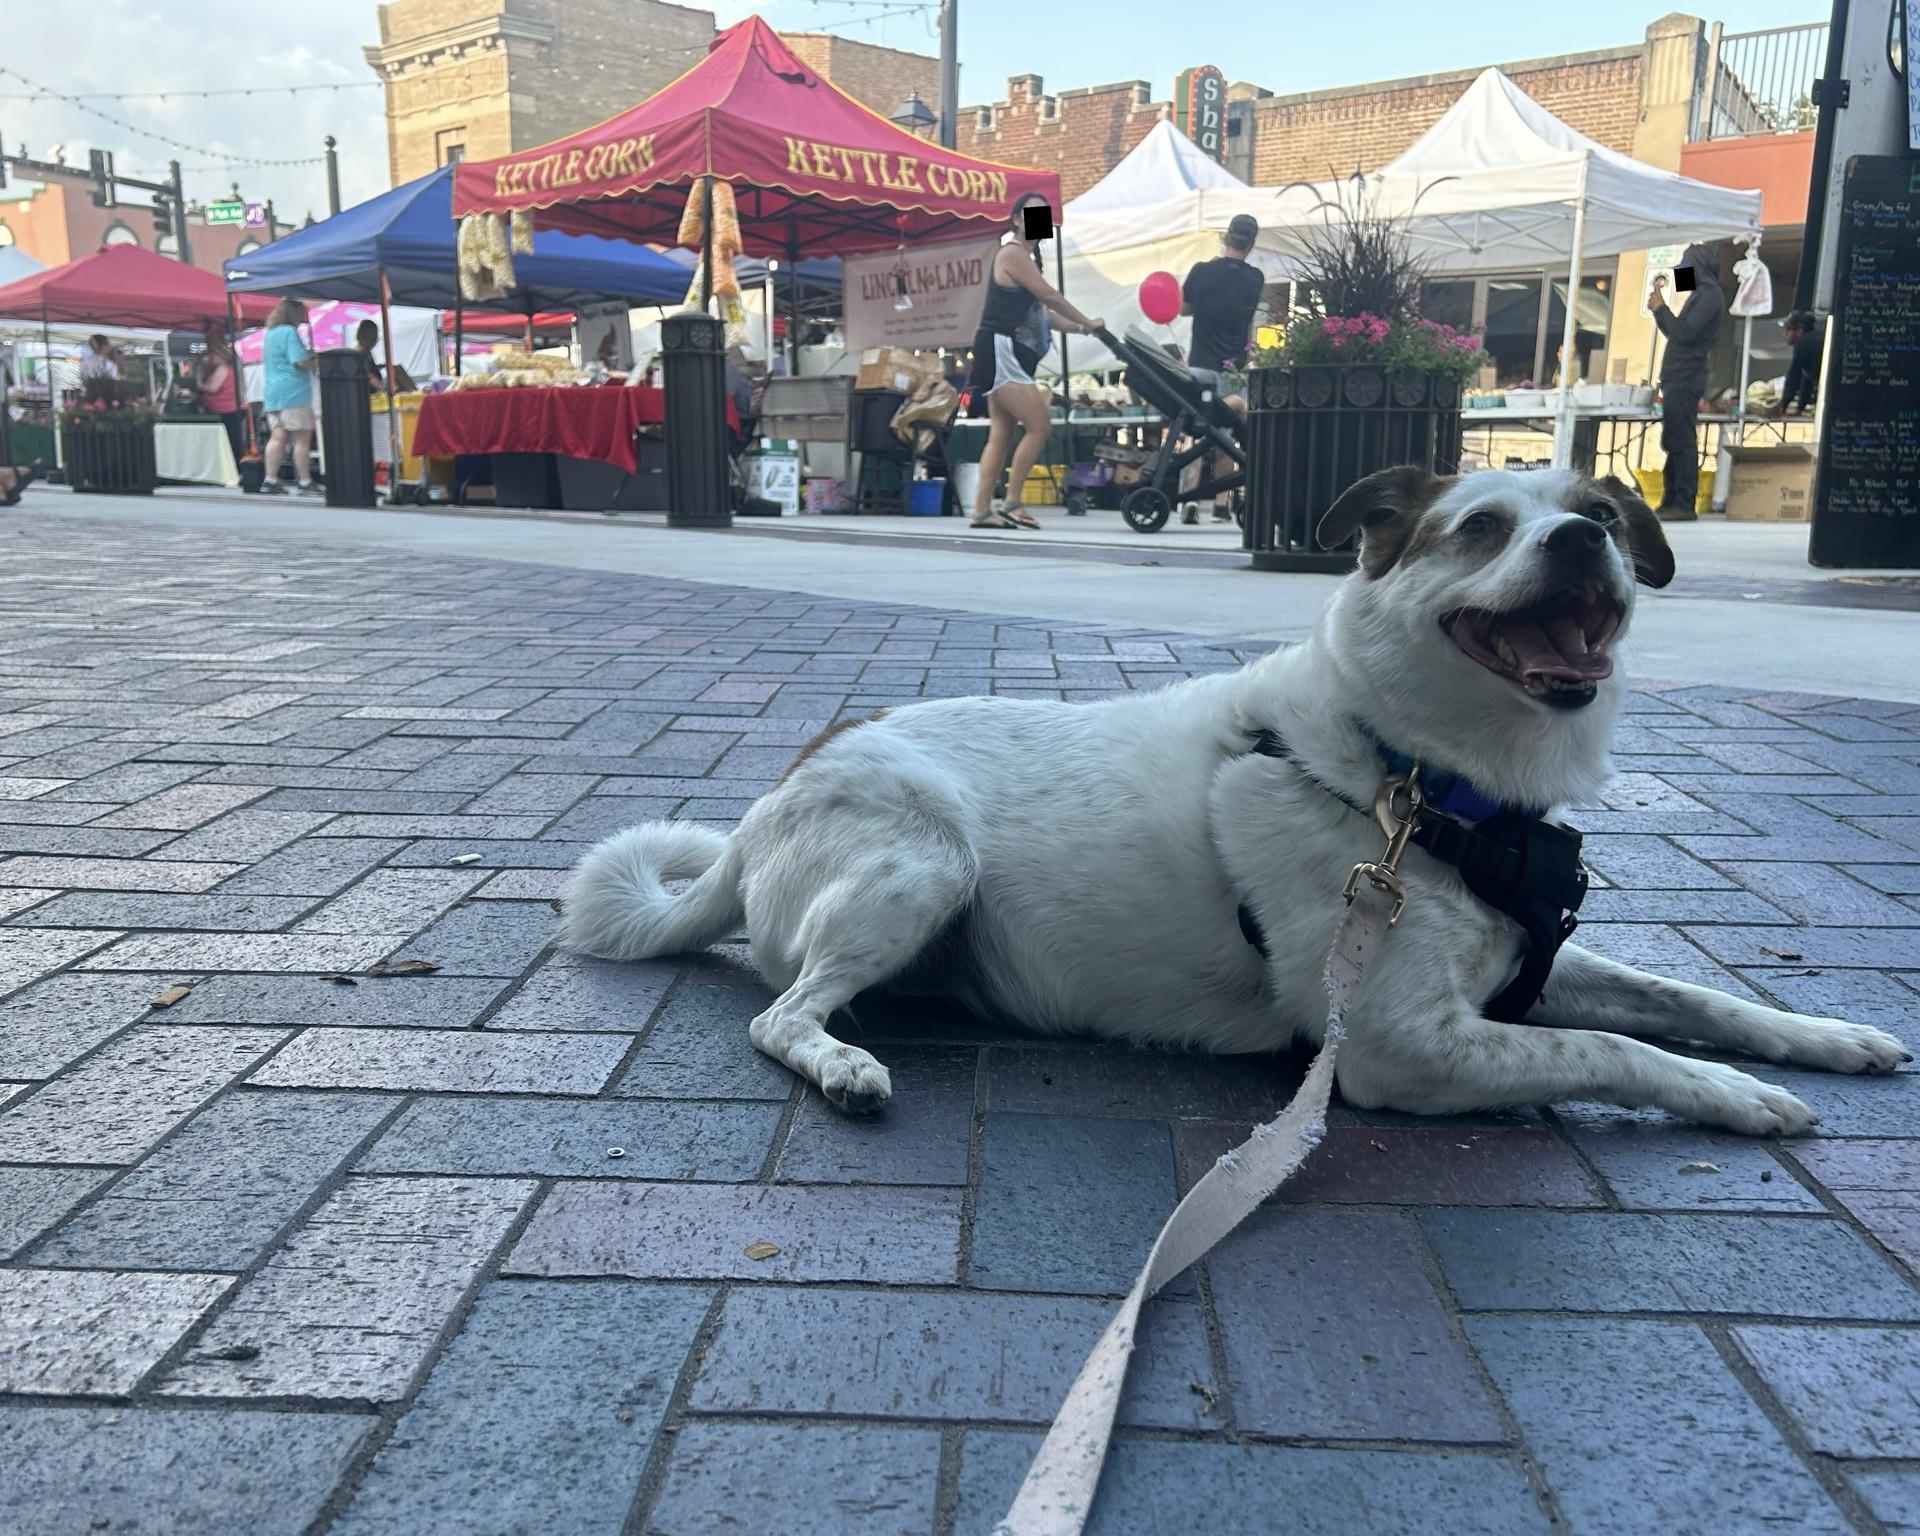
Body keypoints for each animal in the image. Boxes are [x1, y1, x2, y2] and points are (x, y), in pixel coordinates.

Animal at [556, 474, 1904, 1136]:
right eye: (1478, 528)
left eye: (1610, 520)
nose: (1587, 539)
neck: (1415, 783)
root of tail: (758, 817)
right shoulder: (1400, 1047)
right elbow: (1621, 1048)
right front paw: (1737, 1099)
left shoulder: (1519, 973)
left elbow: (1683, 996)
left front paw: (1823, 1037)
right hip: (922, 864)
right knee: (777, 1015)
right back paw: (842, 1062)